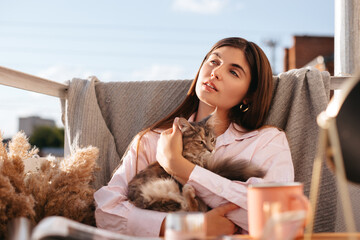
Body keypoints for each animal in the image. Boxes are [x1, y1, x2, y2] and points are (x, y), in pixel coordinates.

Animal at [127, 116, 264, 212]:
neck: (197, 159)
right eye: (200, 142)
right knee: (191, 209)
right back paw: (189, 191)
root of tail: (143, 198)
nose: (211, 150)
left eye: (212, 140)